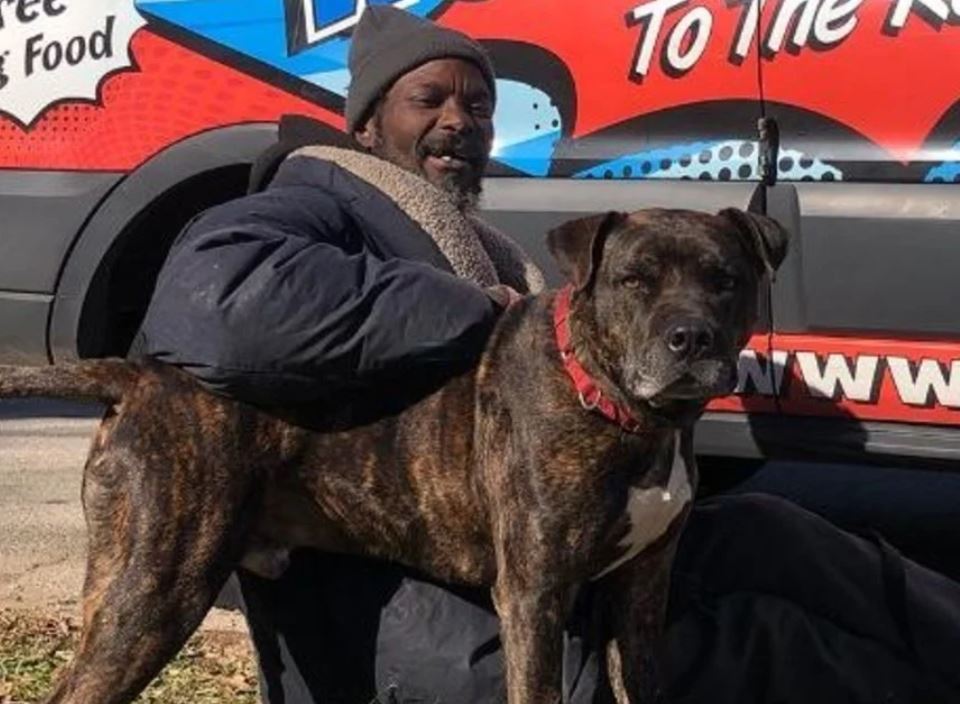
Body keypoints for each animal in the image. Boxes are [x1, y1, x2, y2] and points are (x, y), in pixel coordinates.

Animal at [0, 206, 788, 700]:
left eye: (725, 279)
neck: (620, 409)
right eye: (634, 280)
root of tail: (139, 372)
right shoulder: (534, 597)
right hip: (153, 589)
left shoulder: (640, 598)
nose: (691, 338)